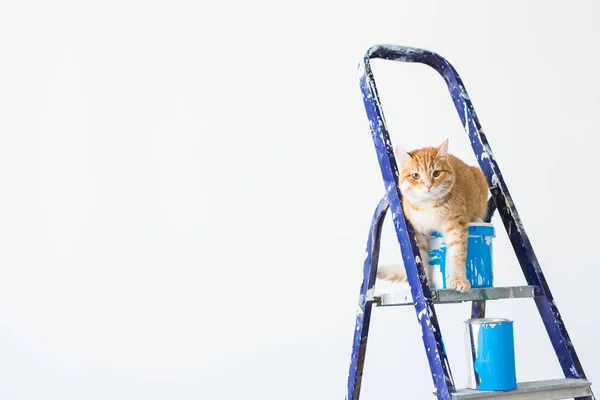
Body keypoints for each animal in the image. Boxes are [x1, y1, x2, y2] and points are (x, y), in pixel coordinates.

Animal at [378, 139, 490, 292]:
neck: (428, 206)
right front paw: (426, 284)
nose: (428, 185)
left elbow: (457, 253)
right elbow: (422, 258)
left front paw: (459, 279)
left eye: (436, 173)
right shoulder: (417, 232)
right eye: (415, 175)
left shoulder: (456, 225)